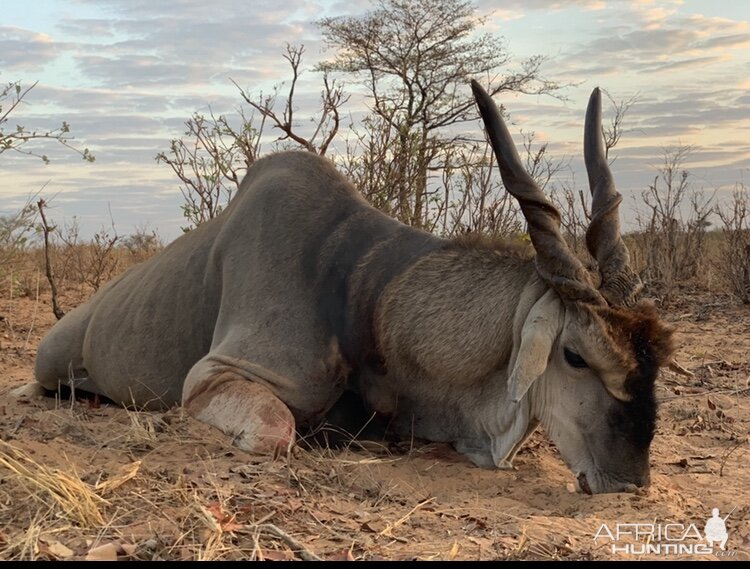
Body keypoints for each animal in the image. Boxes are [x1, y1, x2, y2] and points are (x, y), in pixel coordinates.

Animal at [30, 80, 676, 492]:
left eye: (658, 360)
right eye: (575, 355)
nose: (628, 482)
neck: (361, 290)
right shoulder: (213, 376)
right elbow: (275, 432)